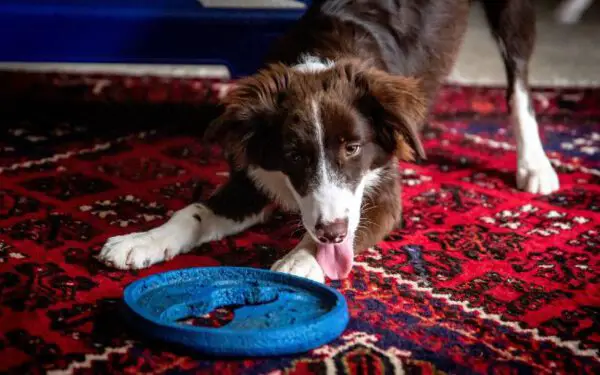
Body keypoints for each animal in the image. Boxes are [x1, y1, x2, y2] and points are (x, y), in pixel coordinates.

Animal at [96, 0, 560, 282]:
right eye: (294, 155)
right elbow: (192, 212)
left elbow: (350, 224)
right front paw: (142, 240)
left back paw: (534, 164)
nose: (332, 232)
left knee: (519, 82)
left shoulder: (382, 194)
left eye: (353, 148)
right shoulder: (254, 177)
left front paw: (299, 260)